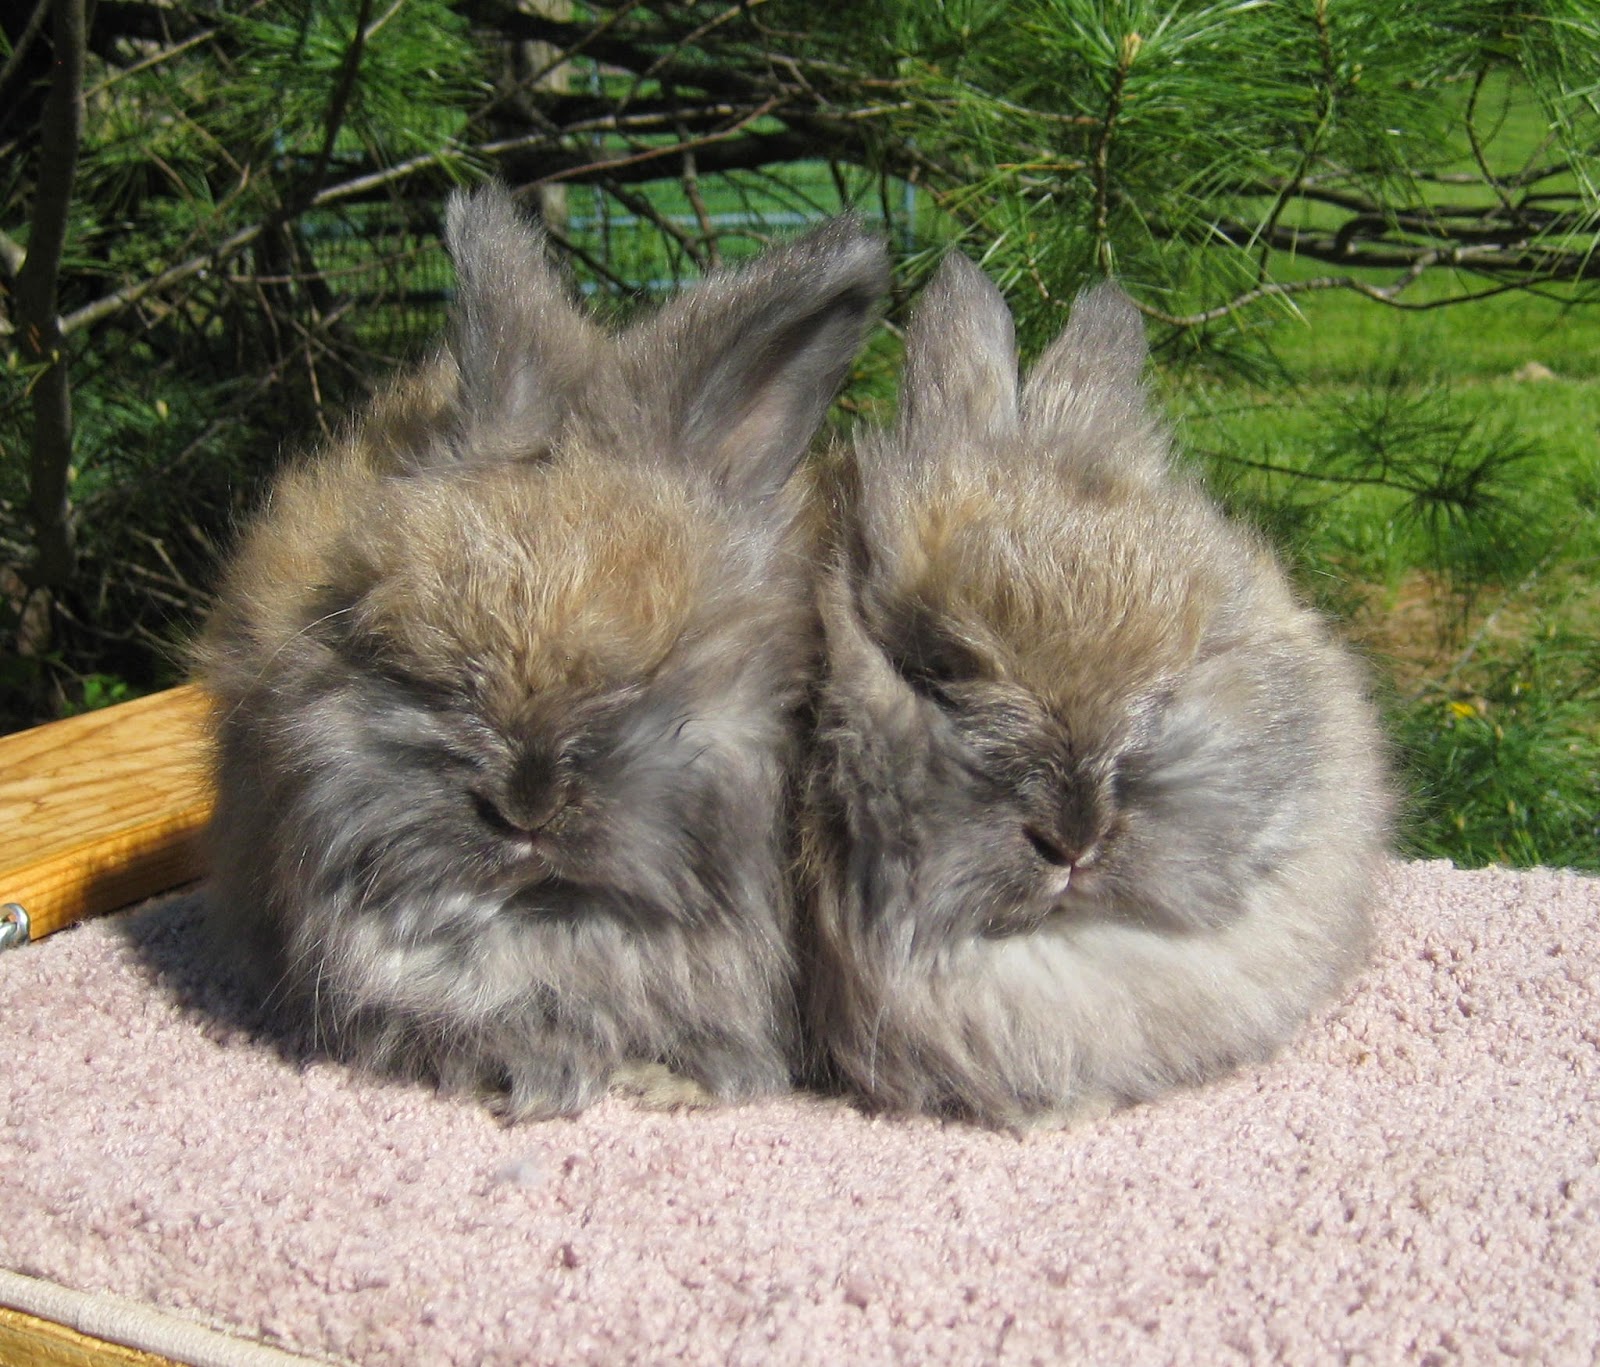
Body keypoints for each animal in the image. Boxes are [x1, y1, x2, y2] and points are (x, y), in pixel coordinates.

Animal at [195, 184, 888, 1119]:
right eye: (430, 676)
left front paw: (667, 1079)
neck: (554, 920)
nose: (524, 808)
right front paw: (542, 1069)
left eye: (646, 679)